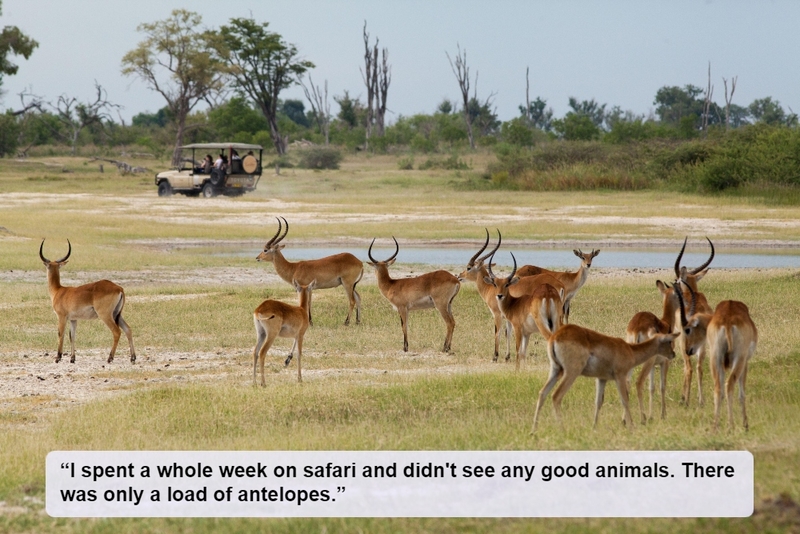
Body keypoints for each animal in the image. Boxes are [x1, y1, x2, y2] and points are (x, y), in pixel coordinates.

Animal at [532, 322, 676, 436]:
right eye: (668, 341)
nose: (673, 354)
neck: (629, 350)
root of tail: (555, 336)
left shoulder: (601, 379)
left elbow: (598, 402)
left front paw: (594, 427)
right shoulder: (620, 376)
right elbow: (625, 400)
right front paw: (632, 426)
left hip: (555, 371)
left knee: (542, 393)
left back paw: (534, 431)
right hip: (571, 373)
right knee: (556, 396)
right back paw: (563, 430)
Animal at [624, 282, 680, 426]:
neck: (665, 323)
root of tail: (637, 328)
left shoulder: (654, 365)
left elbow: (652, 388)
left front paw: (652, 416)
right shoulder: (664, 362)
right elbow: (662, 386)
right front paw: (662, 414)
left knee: (626, 383)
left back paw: (626, 420)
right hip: (647, 361)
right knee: (638, 382)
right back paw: (642, 419)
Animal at [672, 237, 716, 408]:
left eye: (677, 279)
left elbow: (686, 368)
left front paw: (684, 397)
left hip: (684, 343)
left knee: (689, 367)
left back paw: (685, 400)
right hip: (701, 344)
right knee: (699, 367)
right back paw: (701, 401)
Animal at [676, 284, 756, 432]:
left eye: (688, 329)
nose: (687, 350)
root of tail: (728, 321)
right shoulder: (745, 362)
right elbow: (741, 393)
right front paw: (745, 425)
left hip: (715, 359)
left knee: (718, 388)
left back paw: (715, 426)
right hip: (738, 360)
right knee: (729, 385)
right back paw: (731, 426)